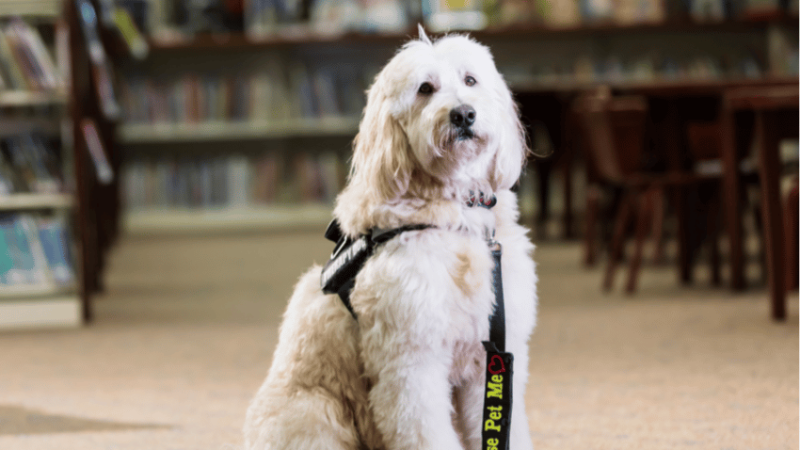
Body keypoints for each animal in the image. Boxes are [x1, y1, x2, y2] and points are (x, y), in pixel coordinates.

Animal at [245, 29, 536, 450]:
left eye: (470, 80)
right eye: (425, 89)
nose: (464, 114)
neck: (452, 213)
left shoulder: (488, 357)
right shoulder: (412, 363)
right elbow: (426, 432)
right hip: (314, 411)